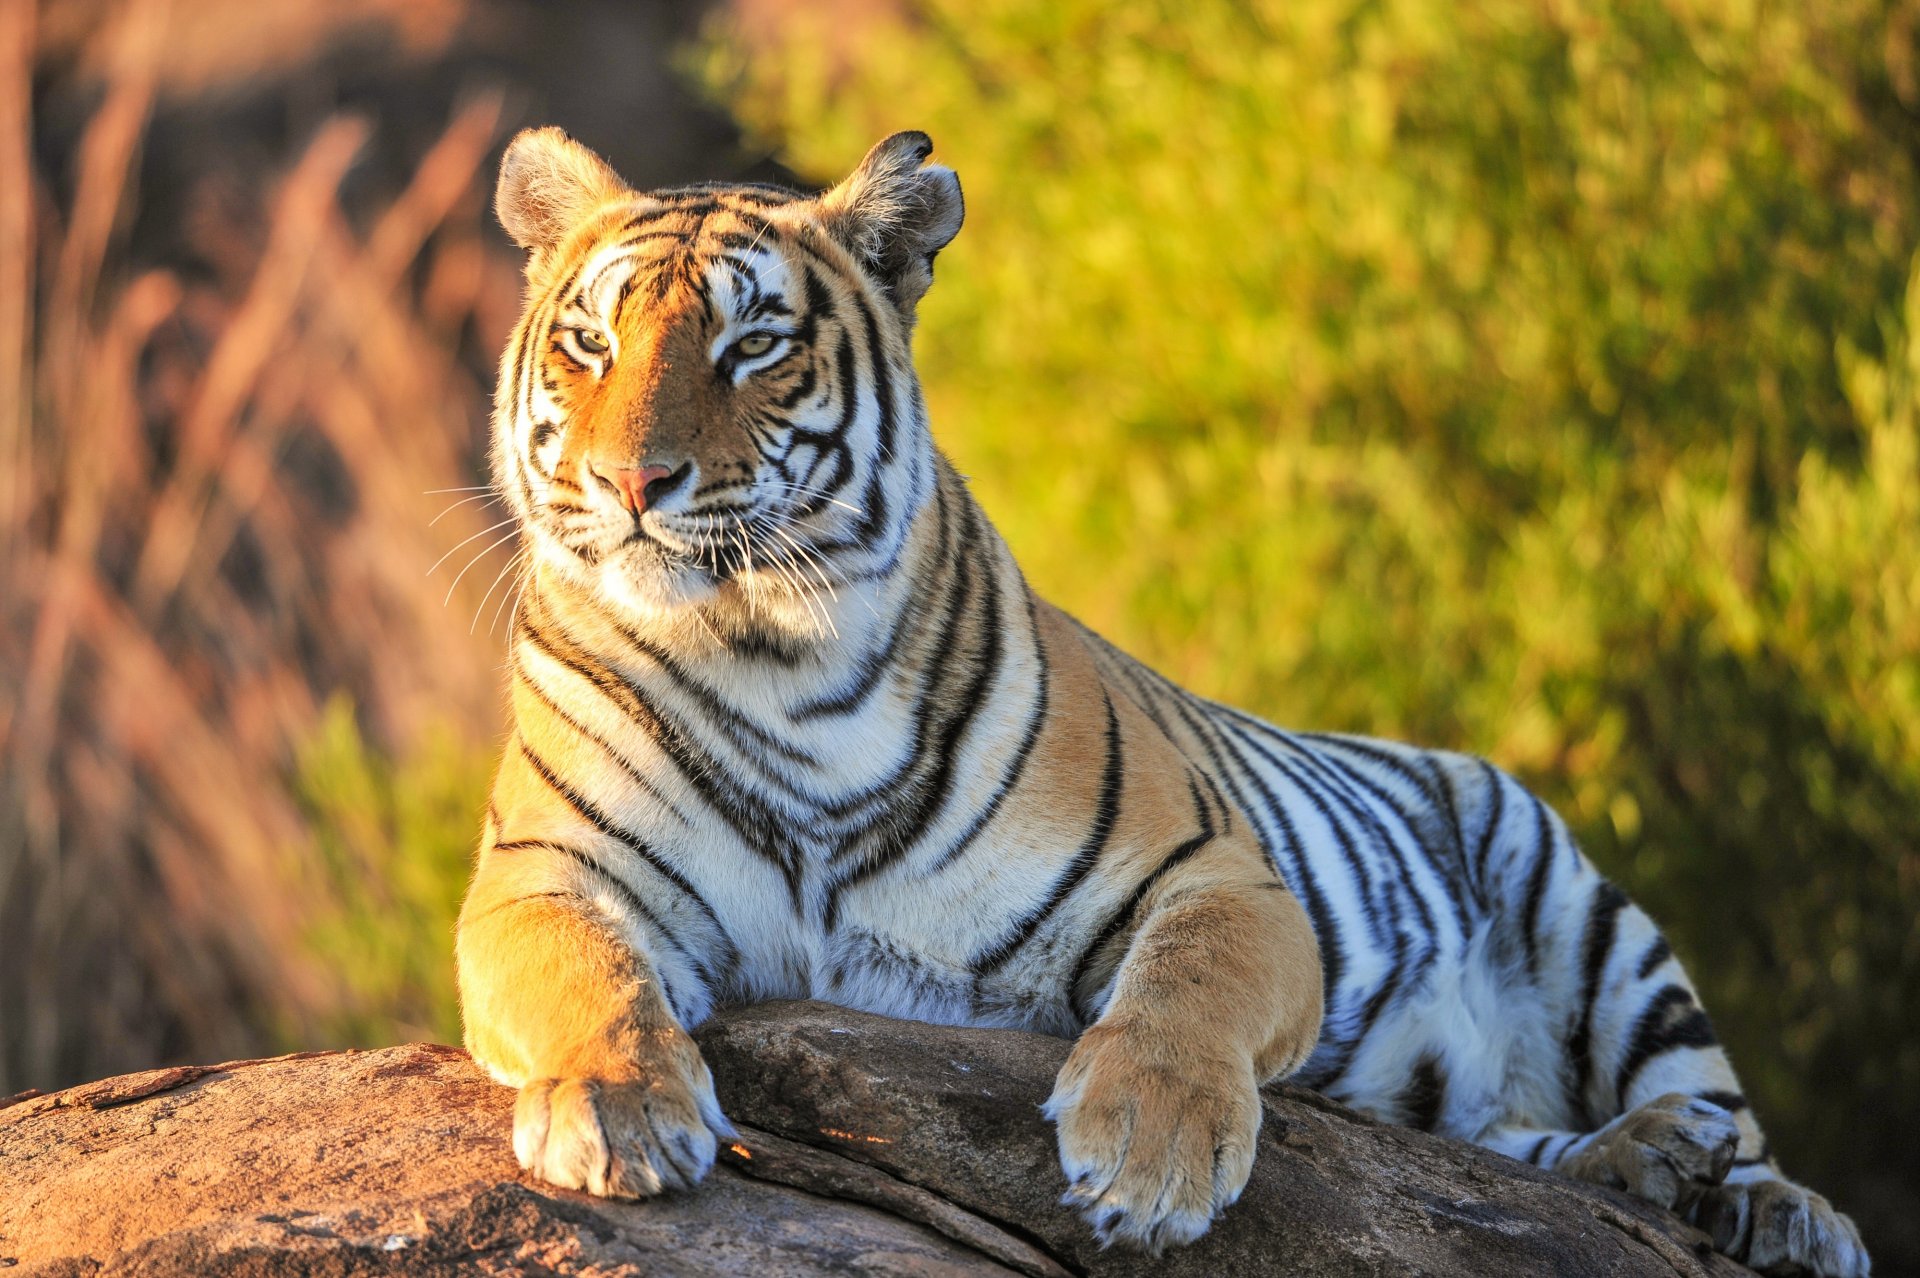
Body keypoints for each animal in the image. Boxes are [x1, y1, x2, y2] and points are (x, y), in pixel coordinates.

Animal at [454, 125, 1870, 1276]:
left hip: (1589, 916)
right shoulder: (544, 876)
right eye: (589, 344)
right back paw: (1648, 1163)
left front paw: (1150, 1154)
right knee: (1509, 1144)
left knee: (1714, 1103)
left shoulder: (1217, 873)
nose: (632, 481)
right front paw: (620, 1111)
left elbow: (1190, 985)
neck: (770, 658)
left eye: (753, 346)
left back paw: (1770, 1205)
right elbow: (586, 975)